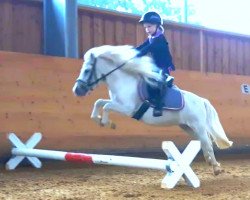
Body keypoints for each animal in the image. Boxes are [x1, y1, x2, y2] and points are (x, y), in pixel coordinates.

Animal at [72, 45, 232, 175]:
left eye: (87, 70)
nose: (77, 90)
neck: (123, 82)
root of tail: (201, 100)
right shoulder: (116, 102)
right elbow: (99, 102)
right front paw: (98, 119)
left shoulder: (126, 108)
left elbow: (105, 106)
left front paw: (107, 123)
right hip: (188, 127)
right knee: (206, 142)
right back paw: (213, 164)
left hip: (198, 126)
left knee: (207, 143)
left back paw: (216, 168)